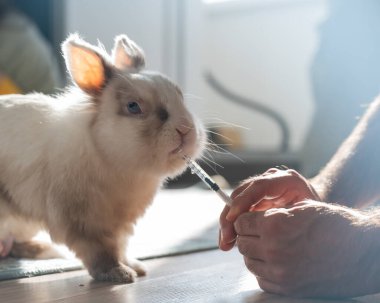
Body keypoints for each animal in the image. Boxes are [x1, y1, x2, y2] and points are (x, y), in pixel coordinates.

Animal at [0, 34, 205, 284]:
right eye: (133, 107)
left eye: (180, 96)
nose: (185, 129)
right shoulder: (84, 223)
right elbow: (100, 251)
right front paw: (119, 274)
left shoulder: (121, 225)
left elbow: (121, 246)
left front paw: (136, 267)